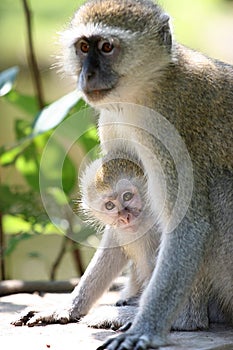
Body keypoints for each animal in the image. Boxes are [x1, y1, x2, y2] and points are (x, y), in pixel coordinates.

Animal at [12, 0, 233, 350]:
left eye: (107, 47)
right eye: (84, 47)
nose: (87, 75)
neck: (146, 91)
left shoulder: (170, 132)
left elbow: (190, 223)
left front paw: (145, 329)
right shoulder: (111, 120)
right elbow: (117, 228)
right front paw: (68, 307)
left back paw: (184, 319)